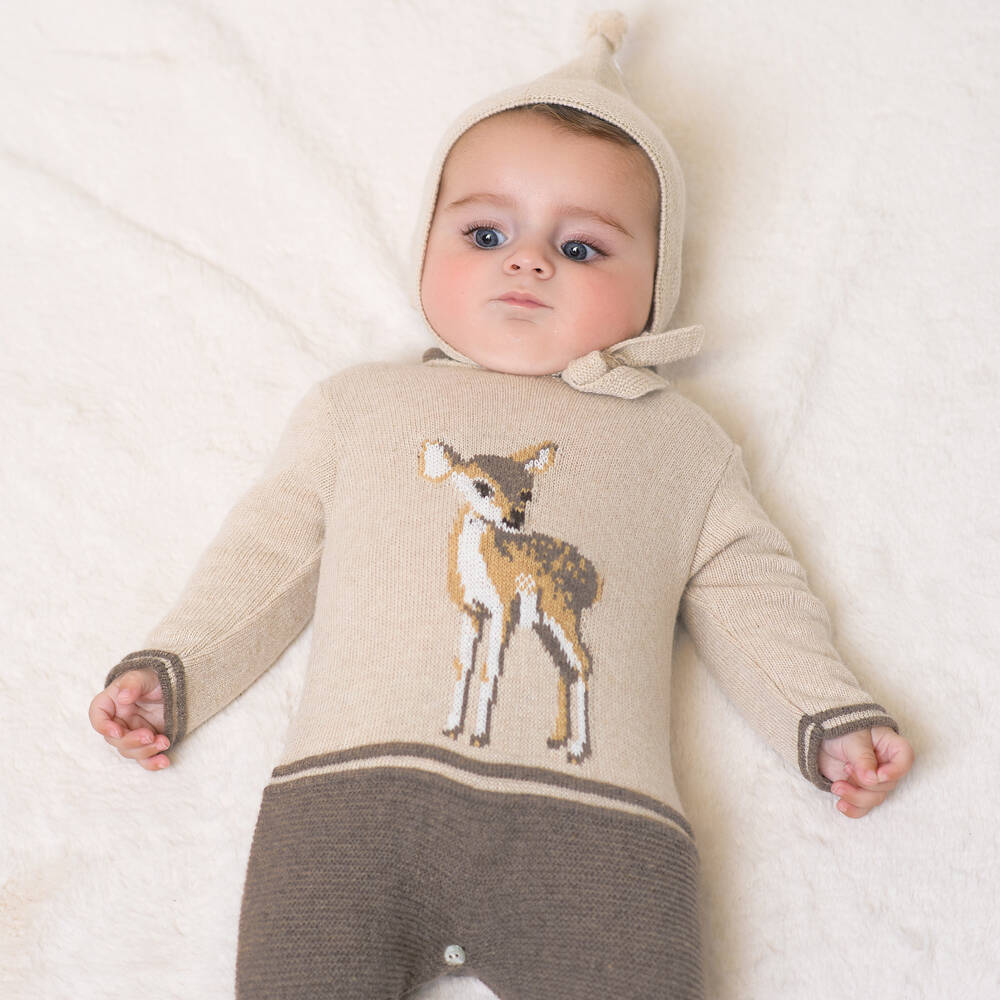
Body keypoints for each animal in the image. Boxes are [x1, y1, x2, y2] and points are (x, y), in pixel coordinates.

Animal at [418, 438, 604, 764]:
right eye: (481, 486)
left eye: (527, 493)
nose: (514, 518)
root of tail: (590, 578)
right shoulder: (471, 610)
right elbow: (463, 665)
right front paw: (451, 729)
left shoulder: (502, 609)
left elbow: (489, 667)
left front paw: (478, 736)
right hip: (545, 622)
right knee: (565, 665)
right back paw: (557, 739)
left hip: (561, 613)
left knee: (582, 661)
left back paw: (577, 750)